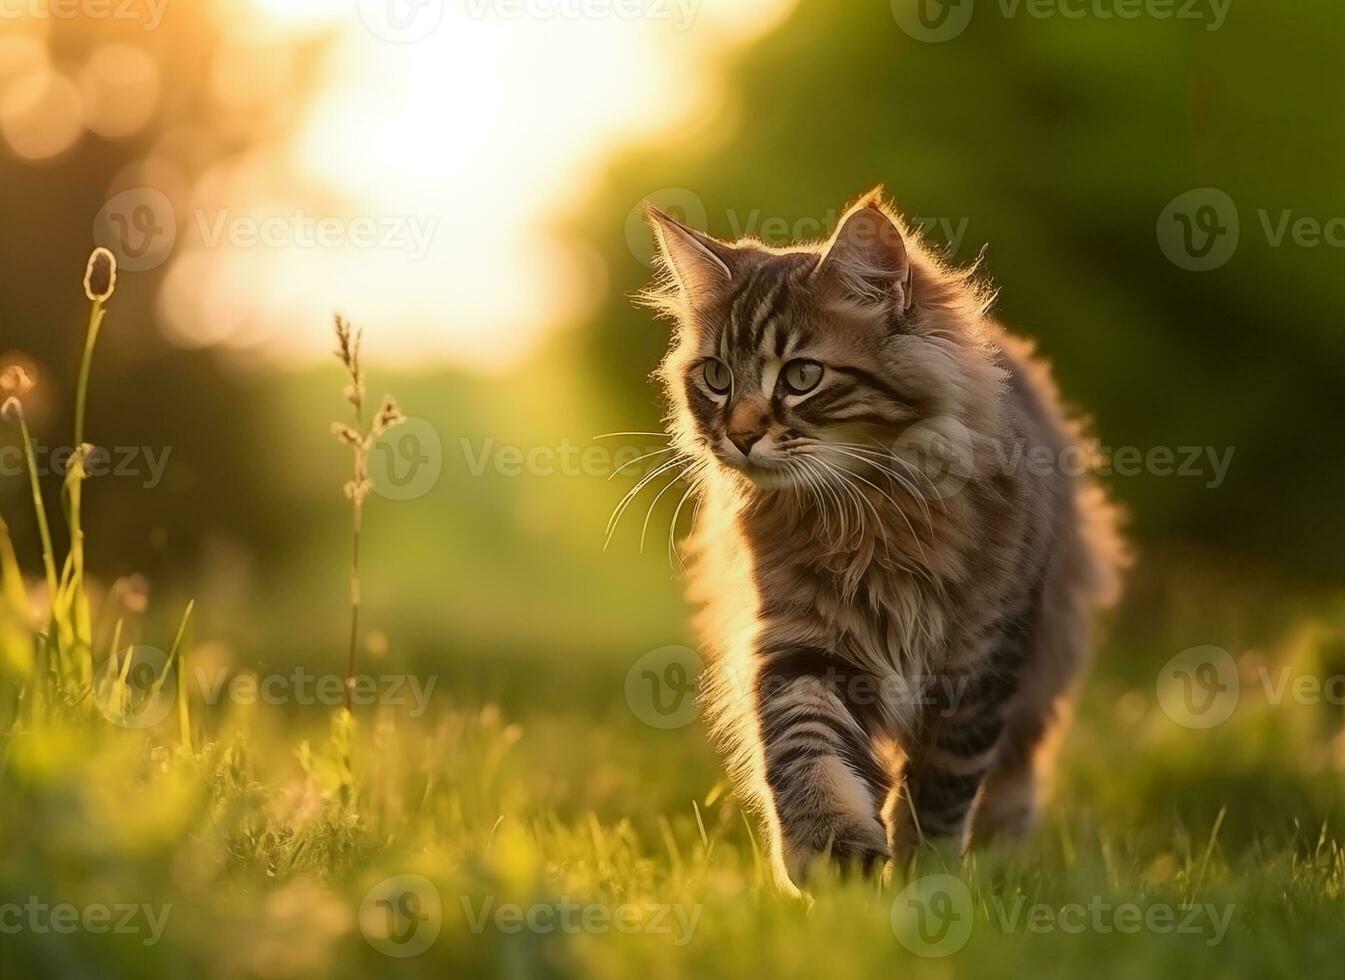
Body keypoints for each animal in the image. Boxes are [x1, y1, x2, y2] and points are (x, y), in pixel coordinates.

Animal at [634, 186, 1119, 892]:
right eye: (717, 377)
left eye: (801, 376)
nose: (740, 434)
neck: (871, 515)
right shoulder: (805, 644)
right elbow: (806, 745)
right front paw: (832, 855)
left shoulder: (981, 659)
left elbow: (942, 787)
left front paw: (926, 880)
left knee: (1014, 768)